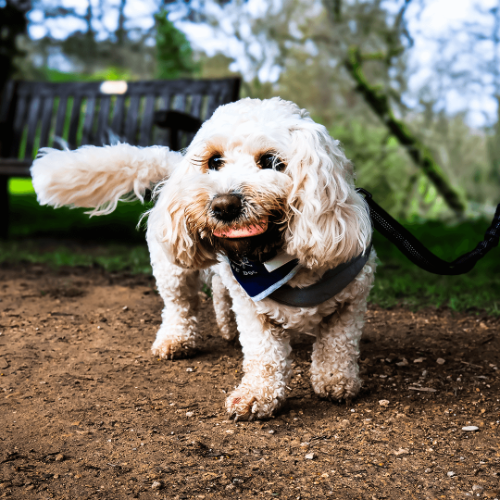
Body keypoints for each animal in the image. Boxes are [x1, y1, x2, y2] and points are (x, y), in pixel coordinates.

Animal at [32, 96, 376, 418]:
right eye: (215, 161)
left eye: (271, 160)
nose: (224, 205)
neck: (274, 259)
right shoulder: (253, 309)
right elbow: (264, 354)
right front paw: (258, 394)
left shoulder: (351, 301)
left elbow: (338, 344)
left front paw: (336, 380)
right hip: (173, 271)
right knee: (179, 305)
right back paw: (176, 339)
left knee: (220, 295)